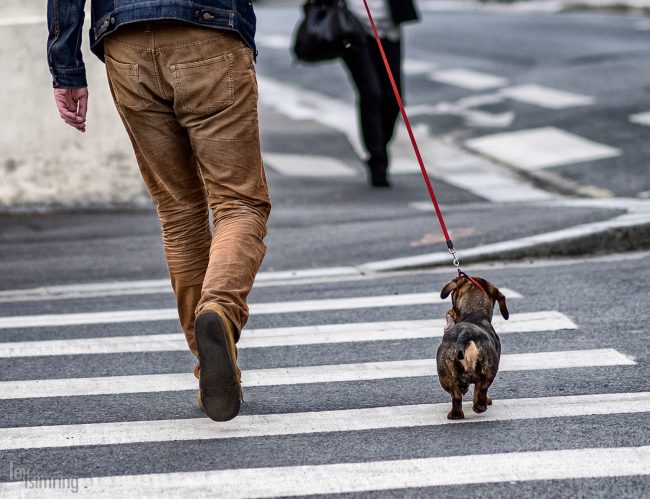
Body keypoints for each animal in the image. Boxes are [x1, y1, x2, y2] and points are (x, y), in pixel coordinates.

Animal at [436, 276, 506, 420]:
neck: (474, 314)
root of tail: (465, 333)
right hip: (487, 371)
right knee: (480, 389)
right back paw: (480, 405)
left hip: (445, 377)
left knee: (456, 395)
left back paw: (455, 414)